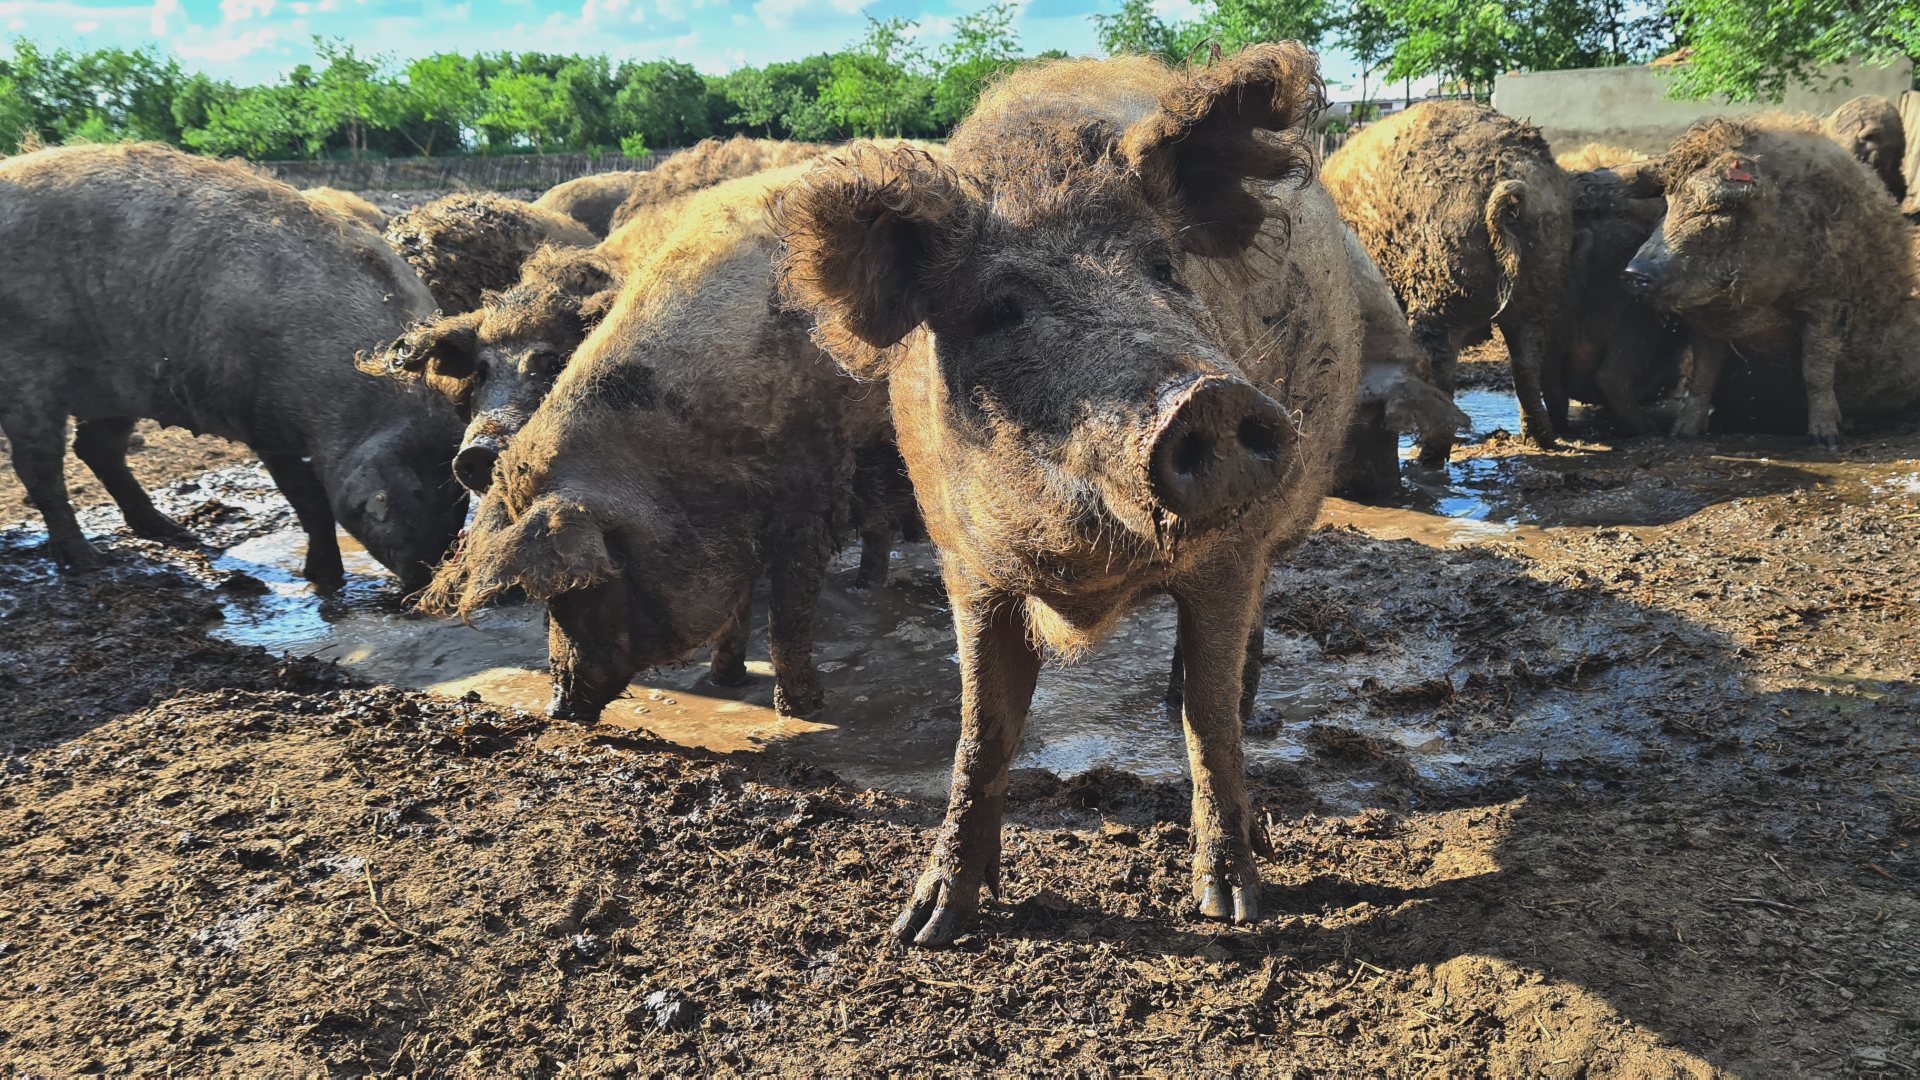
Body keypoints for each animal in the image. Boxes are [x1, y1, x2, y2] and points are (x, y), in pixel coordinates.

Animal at [0, 143, 468, 588]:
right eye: (412, 496)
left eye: (458, 498)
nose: (425, 580)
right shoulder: (265, 424)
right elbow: (310, 502)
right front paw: (324, 579)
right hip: (25, 375)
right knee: (41, 469)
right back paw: (87, 562)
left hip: (115, 389)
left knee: (96, 450)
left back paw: (174, 533)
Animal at [424, 161, 887, 714]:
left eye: (585, 589)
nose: (558, 706)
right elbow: (738, 605)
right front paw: (725, 680)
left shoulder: (812, 483)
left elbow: (789, 612)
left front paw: (802, 709)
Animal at [768, 48, 1367, 941]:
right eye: (1000, 308)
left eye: (1163, 268)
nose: (1207, 399)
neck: (1087, 573)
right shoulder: (967, 565)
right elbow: (981, 731)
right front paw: (925, 927)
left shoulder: (1228, 554)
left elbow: (1210, 721)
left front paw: (1231, 909)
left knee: (1234, 667)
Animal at [1320, 96, 1574, 457]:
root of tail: (1512, 190)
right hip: (1544, 274)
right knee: (1526, 361)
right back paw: (1541, 441)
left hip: (1441, 281)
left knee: (1440, 367)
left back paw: (1422, 454)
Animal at [1620, 115, 1920, 440]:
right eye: (1667, 204)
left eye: (1714, 209)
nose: (1632, 273)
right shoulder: (1703, 323)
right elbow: (1702, 377)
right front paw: (1682, 434)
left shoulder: (1826, 301)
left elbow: (1816, 370)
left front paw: (1826, 439)